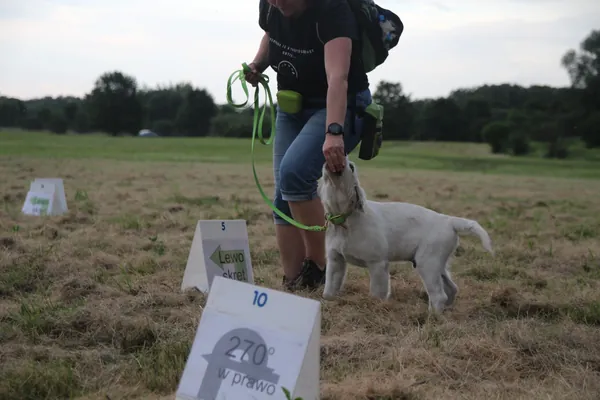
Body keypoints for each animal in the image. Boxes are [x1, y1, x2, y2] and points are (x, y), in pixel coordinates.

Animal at [318, 159, 494, 313]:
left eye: (352, 167)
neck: (345, 220)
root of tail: (449, 220)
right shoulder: (336, 261)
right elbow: (329, 289)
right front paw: (327, 303)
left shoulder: (377, 264)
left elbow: (377, 293)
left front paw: (375, 307)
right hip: (437, 263)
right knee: (451, 289)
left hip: (428, 263)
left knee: (439, 295)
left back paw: (432, 317)